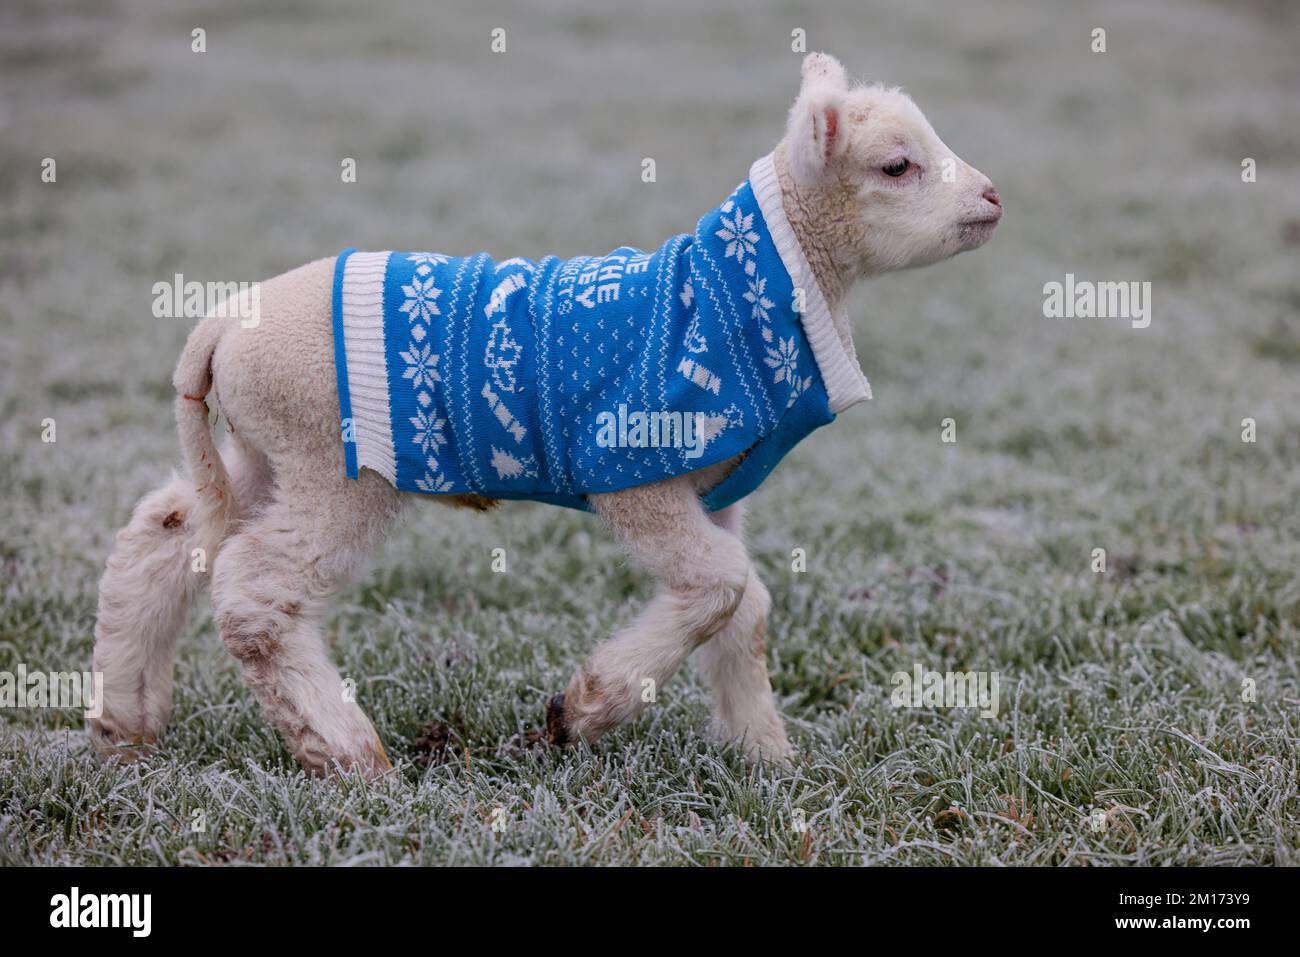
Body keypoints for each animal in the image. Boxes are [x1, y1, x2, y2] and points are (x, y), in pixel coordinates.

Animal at [89, 52, 1003, 774]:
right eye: (897, 166)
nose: (994, 197)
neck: (736, 290)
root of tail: (217, 324)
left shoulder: (715, 488)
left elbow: (747, 608)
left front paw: (765, 759)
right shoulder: (635, 466)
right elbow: (721, 584)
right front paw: (586, 709)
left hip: (261, 452)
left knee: (164, 538)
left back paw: (125, 722)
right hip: (333, 459)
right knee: (252, 591)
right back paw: (347, 752)